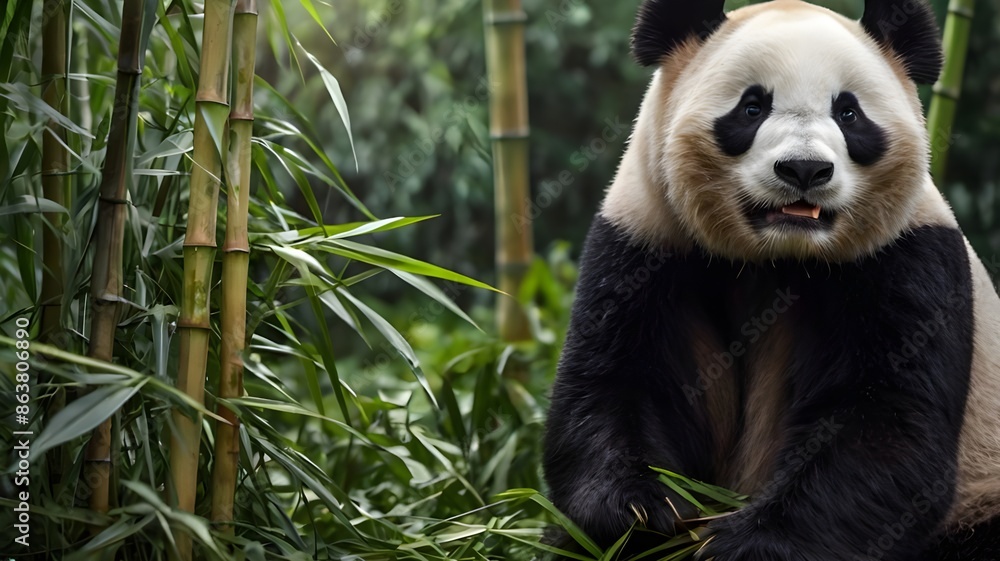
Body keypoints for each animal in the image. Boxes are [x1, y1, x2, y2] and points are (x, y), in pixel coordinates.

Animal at [543, 1, 1000, 560]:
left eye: (848, 113)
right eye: (752, 107)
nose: (804, 169)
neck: (778, 254)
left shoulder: (907, 257)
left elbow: (886, 423)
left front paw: (737, 543)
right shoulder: (646, 241)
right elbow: (616, 386)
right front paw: (644, 511)